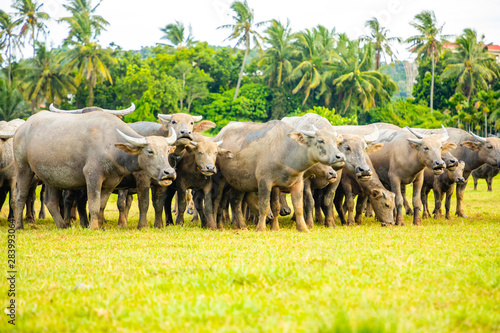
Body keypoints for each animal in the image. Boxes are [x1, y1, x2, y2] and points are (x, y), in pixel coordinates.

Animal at [12, 110, 178, 230]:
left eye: (167, 150)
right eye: (150, 151)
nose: (169, 173)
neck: (111, 144)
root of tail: (21, 129)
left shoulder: (110, 182)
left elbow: (101, 205)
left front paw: (100, 225)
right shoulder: (92, 176)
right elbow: (93, 204)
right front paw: (93, 227)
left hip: (51, 177)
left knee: (50, 202)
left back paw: (62, 226)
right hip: (23, 168)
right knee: (21, 196)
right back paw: (19, 226)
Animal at [213, 119, 346, 231]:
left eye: (335, 142)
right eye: (320, 140)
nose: (340, 157)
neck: (285, 151)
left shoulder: (296, 183)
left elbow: (296, 207)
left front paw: (302, 228)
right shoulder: (265, 182)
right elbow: (265, 206)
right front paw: (261, 228)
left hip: (239, 182)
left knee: (236, 202)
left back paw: (242, 226)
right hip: (221, 179)